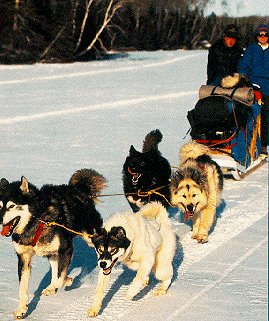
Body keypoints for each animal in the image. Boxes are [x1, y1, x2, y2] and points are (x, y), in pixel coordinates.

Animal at [0, 168, 104, 318]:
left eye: (12, 206)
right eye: (0, 206)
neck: (36, 221)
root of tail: (79, 189)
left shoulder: (66, 249)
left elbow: (60, 278)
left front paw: (67, 280)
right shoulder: (24, 258)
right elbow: (23, 288)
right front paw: (21, 309)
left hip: (89, 237)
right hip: (52, 253)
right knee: (55, 268)